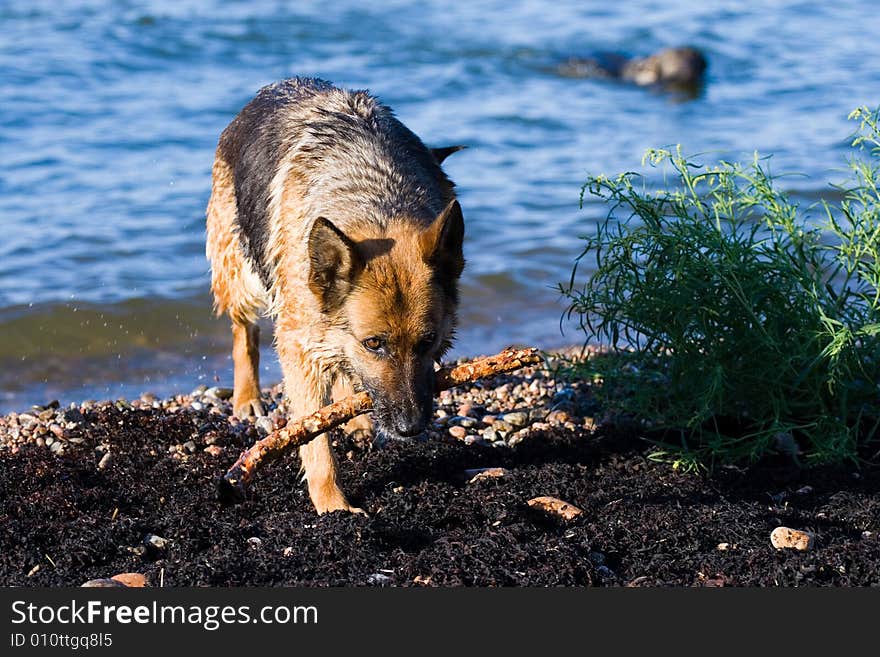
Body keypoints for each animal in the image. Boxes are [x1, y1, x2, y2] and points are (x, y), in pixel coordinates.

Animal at [207, 78, 468, 512]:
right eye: (374, 343)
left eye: (428, 341)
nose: (411, 428)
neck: (376, 205)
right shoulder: (298, 347)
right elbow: (314, 438)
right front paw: (333, 505)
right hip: (240, 270)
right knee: (244, 331)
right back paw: (247, 397)